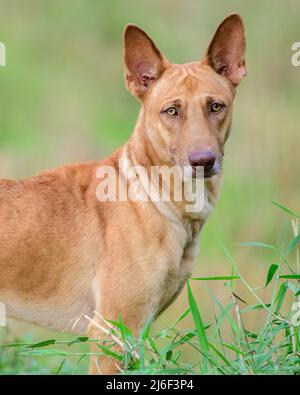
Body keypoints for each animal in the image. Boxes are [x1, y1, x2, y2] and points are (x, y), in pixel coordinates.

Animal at [0, 13, 246, 374]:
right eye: (171, 111)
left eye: (216, 106)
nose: (203, 161)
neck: (155, 200)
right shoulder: (112, 332)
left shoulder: (138, 329)